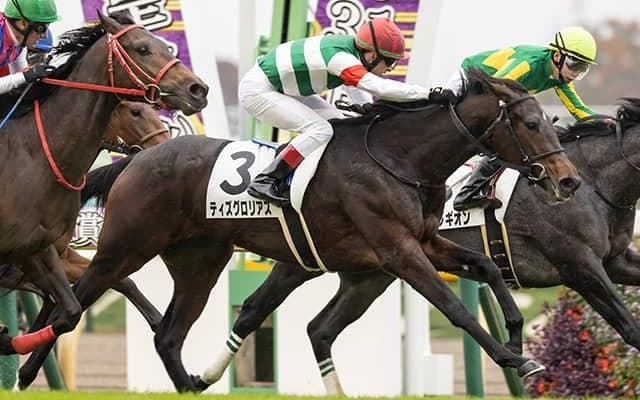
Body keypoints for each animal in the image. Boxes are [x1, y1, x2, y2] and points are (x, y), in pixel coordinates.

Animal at [0, 9, 207, 358]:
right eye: (142, 49)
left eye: (164, 45)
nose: (197, 89)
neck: (35, 156)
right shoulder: (20, 253)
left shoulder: (40, 249)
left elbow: (73, 308)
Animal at [20, 68, 581, 392]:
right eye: (532, 123)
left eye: (547, 119)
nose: (568, 180)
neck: (400, 159)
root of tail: (137, 159)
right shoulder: (398, 251)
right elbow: (455, 307)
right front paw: (513, 357)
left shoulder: (424, 241)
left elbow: (487, 265)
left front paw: (517, 333)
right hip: (125, 247)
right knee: (76, 303)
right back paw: (25, 372)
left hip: (200, 262)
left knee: (168, 335)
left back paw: (191, 381)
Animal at [207, 99, 640, 395]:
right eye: (532, 125)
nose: (567, 184)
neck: (595, 182)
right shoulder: (579, 265)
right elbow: (628, 325)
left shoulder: (614, 260)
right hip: (315, 261)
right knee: (261, 308)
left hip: (367, 278)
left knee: (317, 327)